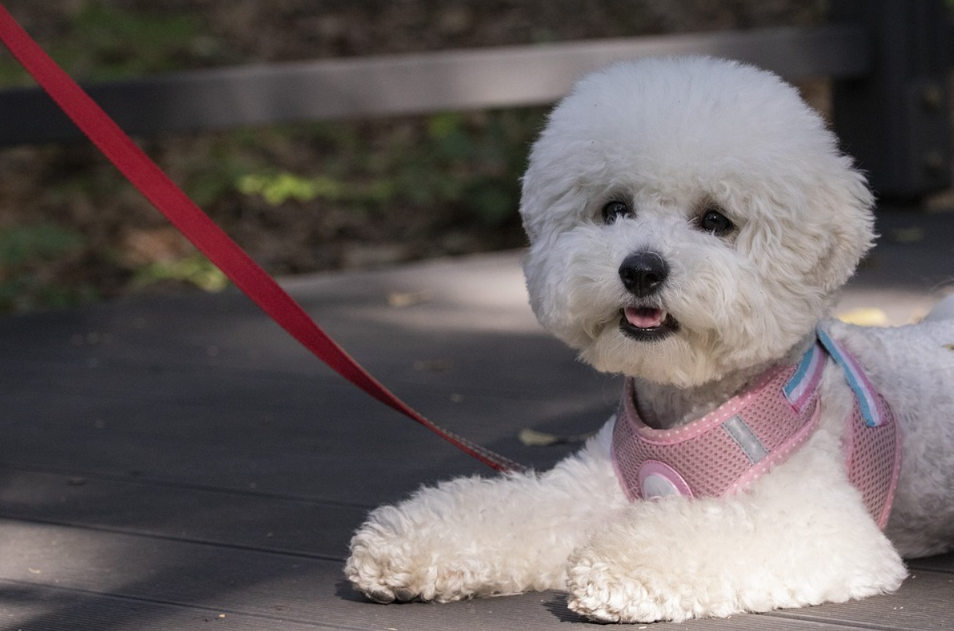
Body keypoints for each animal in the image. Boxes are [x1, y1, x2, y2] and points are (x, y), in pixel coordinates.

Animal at [342, 55, 952, 624]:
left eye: (716, 220)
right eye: (614, 209)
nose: (640, 270)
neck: (689, 405)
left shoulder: (821, 524)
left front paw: (617, 566)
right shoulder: (587, 491)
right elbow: (513, 510)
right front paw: (404, 546)